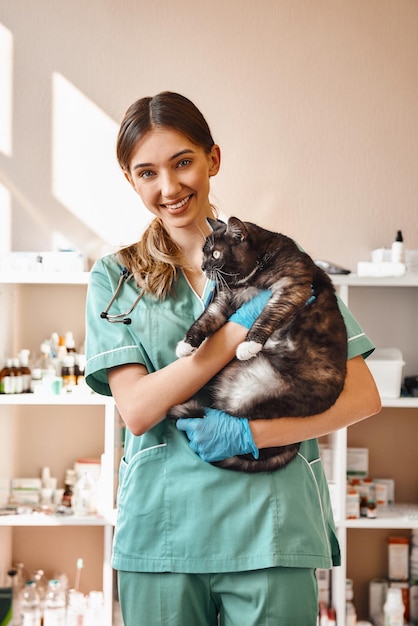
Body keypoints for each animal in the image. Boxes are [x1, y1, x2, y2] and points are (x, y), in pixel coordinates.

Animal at [168, 217, 348, 470]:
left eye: (215, 254)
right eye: (203, 254)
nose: (203, 267)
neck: (253, 275)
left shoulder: (291, 287)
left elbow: (268, 314)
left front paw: (249, 345)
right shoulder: (224, 300)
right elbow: (204, 320)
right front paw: (186, 345)